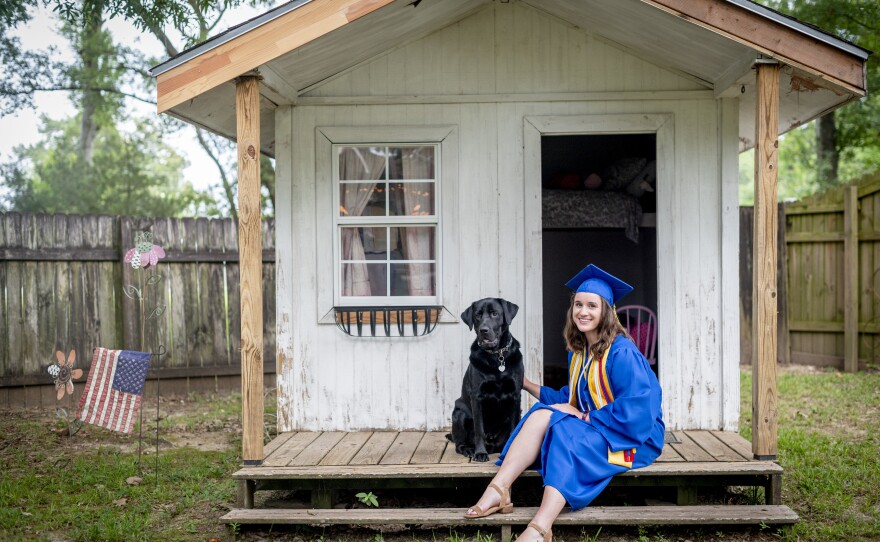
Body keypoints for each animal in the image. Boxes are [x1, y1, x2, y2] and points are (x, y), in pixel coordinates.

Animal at [446, 298, 524, 464]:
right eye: (477, 315)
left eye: (495, 313)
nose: (484, 330)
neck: (496, 356)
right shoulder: (477, 397)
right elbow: (479, 429)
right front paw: (480, 453)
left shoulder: (515, 396)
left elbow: (513, 429)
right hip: (459, 413)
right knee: (459, 444)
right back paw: (469, 450)